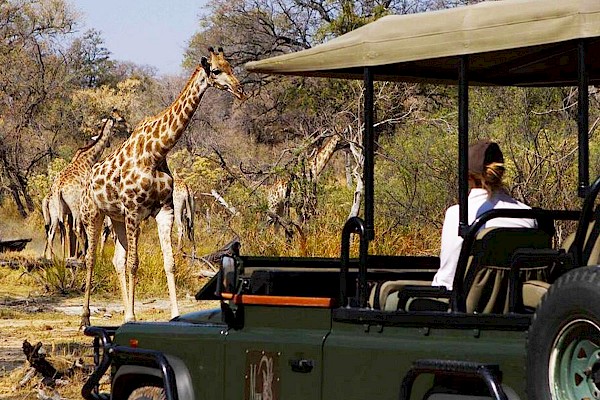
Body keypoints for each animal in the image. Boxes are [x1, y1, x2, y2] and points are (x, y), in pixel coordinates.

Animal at [44, 109, 129, 260]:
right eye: (121, 120)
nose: (129, 129)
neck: (88, 158)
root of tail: (58, 188)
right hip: (75, 207)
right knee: (74, 228)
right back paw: (81, 253)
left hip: (60, 209)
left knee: (58, 230)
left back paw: (57, 257)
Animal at [79, 48, 244, 326]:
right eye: (216, 70)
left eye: (231, 66)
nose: (240, 89)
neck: (156, 152)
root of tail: (87, 180)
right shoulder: (134, 210)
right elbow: (135, 263)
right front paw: (132, 316)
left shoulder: (163, 210)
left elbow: (169, 261)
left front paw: (174, 314)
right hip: (94, 213)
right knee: (90, 259)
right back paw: (86, 319)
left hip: (117, 218)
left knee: (117, 260)